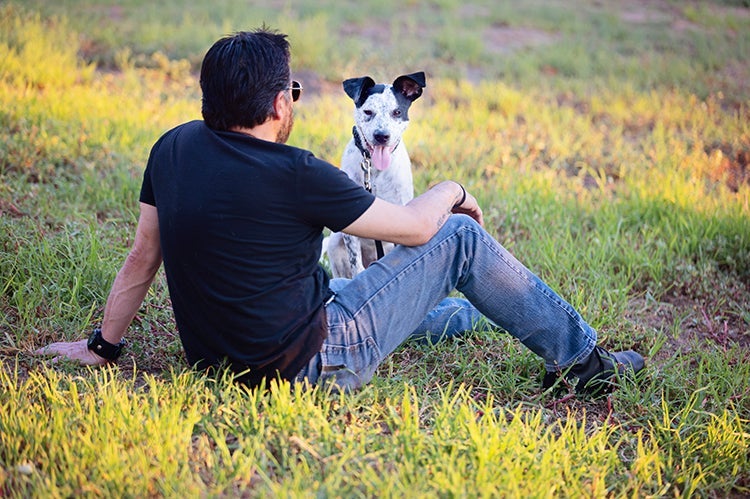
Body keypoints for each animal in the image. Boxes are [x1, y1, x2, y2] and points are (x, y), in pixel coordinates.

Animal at [326, 72, 426, 280]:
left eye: (397, 112)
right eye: (368, 112)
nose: (382, 136)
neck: (375, 169)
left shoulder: (404, 219)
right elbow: (356, 264)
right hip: (335, 242)